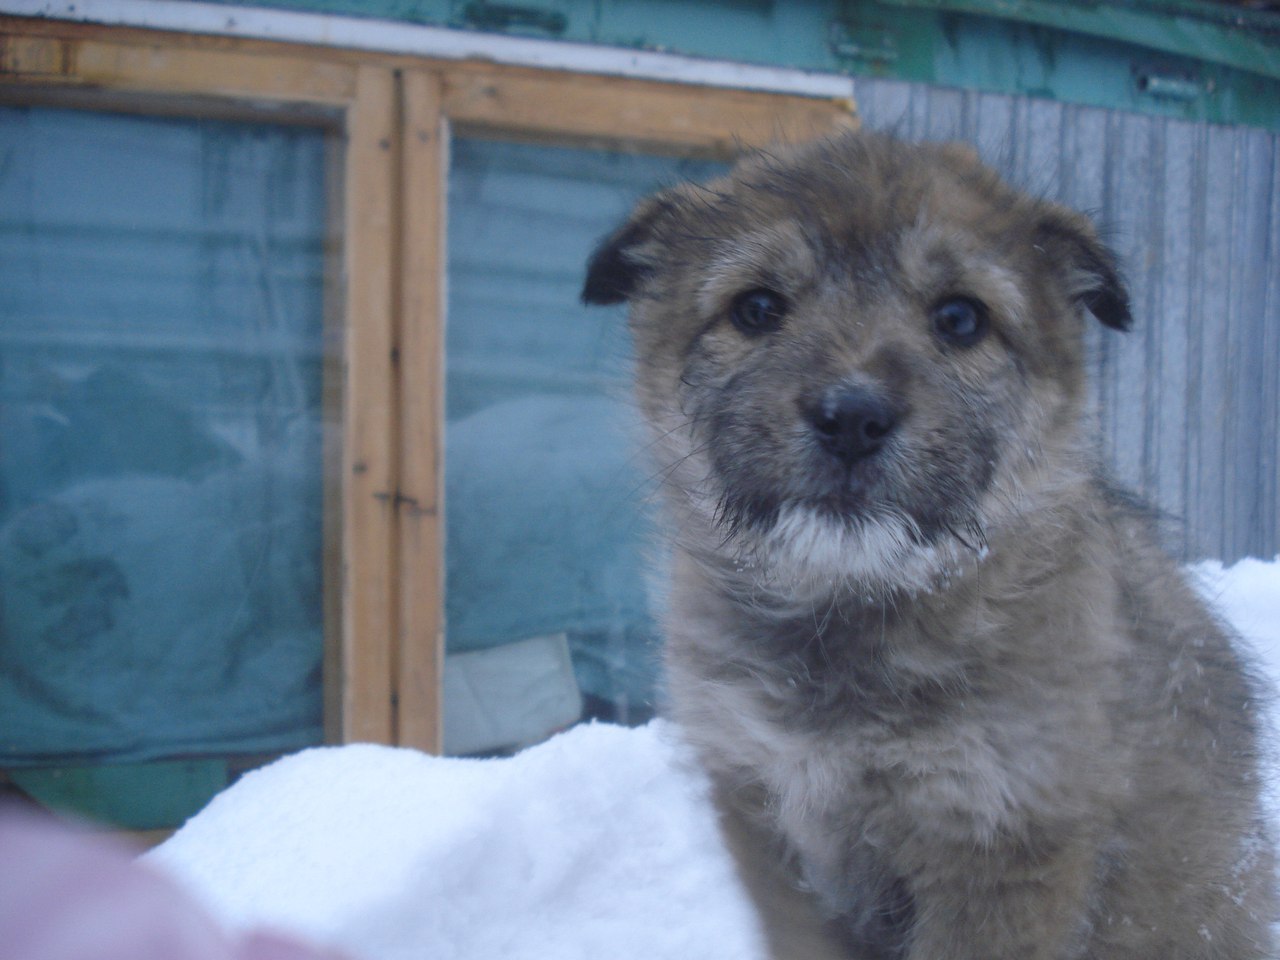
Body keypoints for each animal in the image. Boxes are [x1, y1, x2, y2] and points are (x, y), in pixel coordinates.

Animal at [586, 129, 1274, 960]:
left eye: (960, 319)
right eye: (756, 308)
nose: (852, 418)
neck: (852, 617)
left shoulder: (1002, 842)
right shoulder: (770, 827)